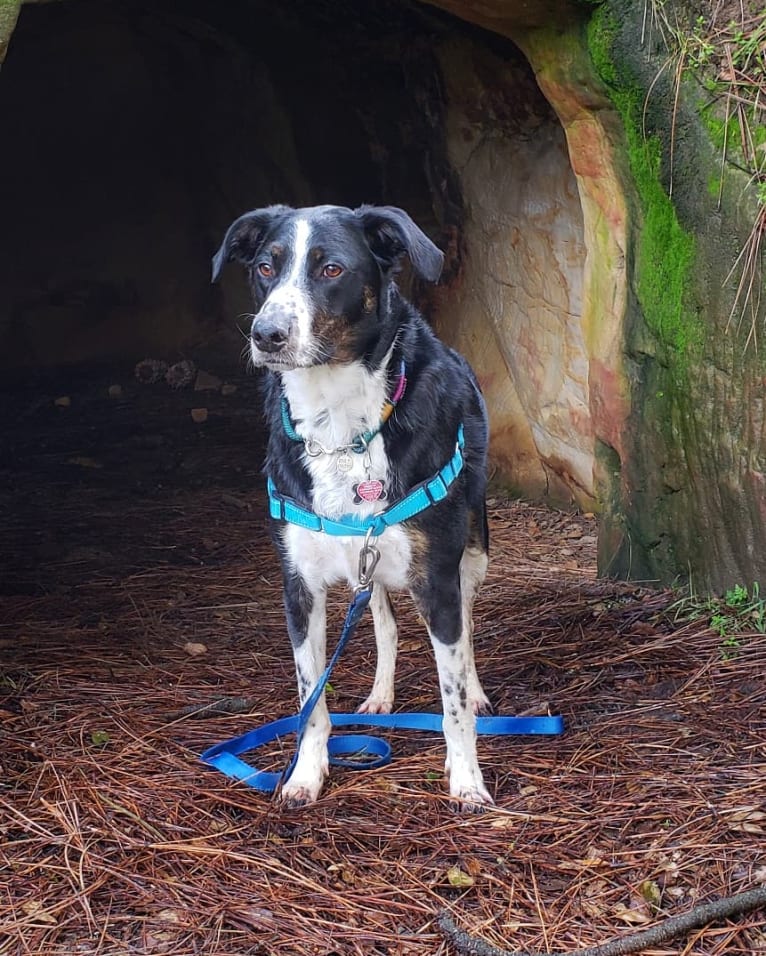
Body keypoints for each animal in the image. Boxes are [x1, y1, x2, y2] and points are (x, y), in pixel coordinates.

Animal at [213, 205, 496, 812]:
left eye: (332, 269)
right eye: (266, 267)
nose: (266, 334)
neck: (339, 425)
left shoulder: (437, 578)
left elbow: (453, 698)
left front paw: (466, 780)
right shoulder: (299, 586)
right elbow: (311, 701)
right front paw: (305, 775)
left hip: (473, 551)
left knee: (466, 630)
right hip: (365, 568)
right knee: (384, 623)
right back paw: (381, 696)